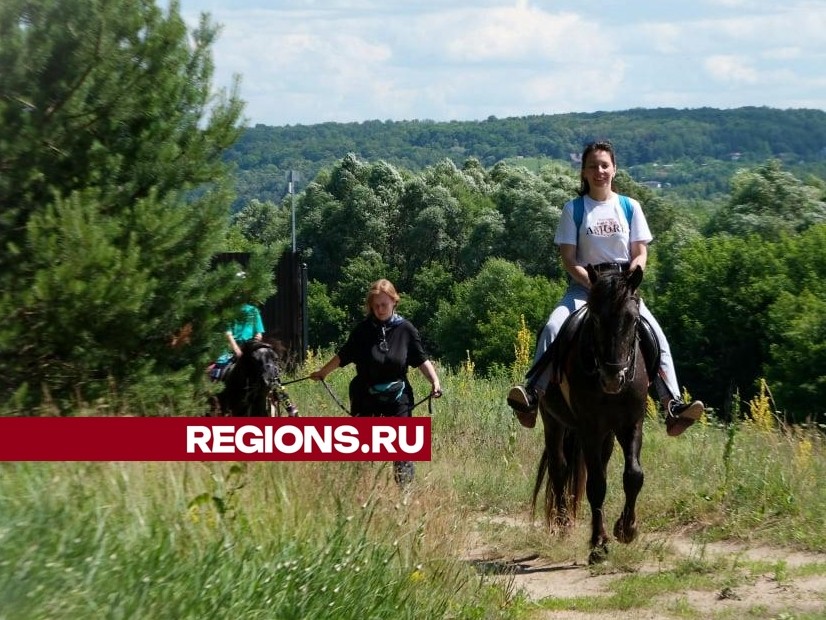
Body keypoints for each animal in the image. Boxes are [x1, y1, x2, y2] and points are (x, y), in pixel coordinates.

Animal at [536, 264, 652, 564]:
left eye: (633, 320)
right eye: (596, 319)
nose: (613, 377)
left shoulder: (631, 424)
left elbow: (633, 475)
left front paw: (626, 528)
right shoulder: (589, 428)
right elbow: (597, 484)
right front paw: (599, 544)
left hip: (607, 435)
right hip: (553, 422)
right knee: (559, 468)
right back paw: (562, 524)